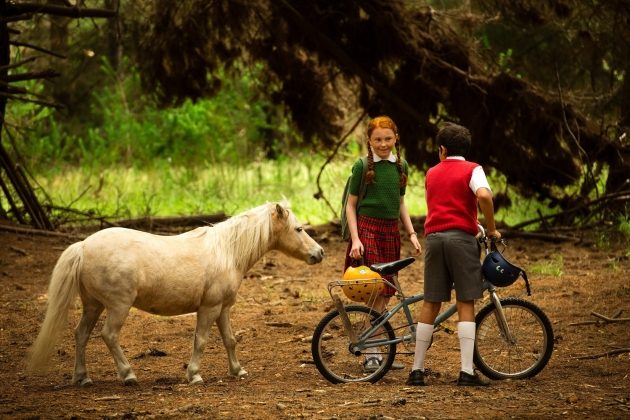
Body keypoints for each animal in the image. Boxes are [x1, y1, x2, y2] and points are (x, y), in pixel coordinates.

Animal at [28, 202, 326, 386]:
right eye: (299, 229)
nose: (319, 253)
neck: (227, 252)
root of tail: (83, 245)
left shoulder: (223, 309)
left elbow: (229, 340)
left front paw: (238, 370)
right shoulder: (209, 308)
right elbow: (201, 341)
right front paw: (194, 375)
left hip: (93, 305)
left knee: (81, 334)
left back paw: (83, 377)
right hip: (118, 306)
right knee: (108, 335)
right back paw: (128, 375)